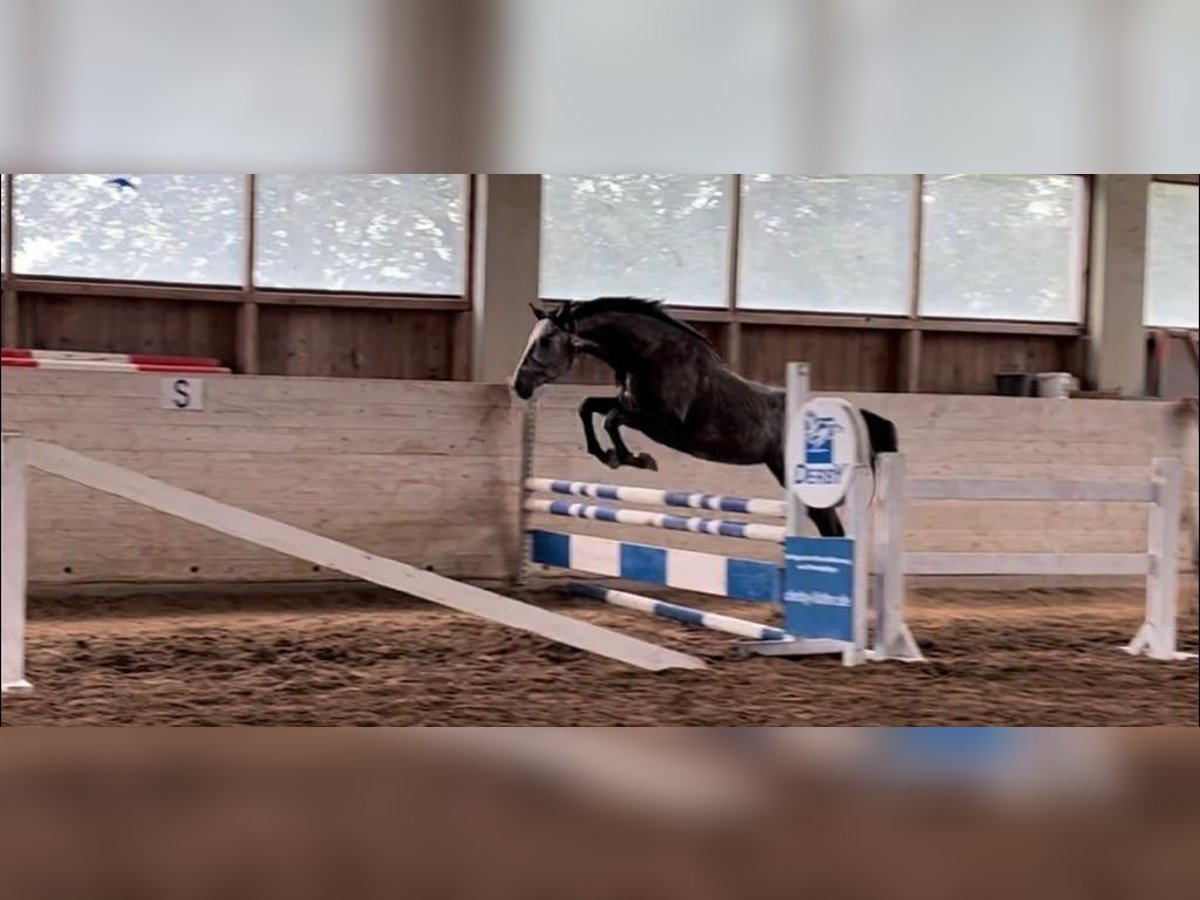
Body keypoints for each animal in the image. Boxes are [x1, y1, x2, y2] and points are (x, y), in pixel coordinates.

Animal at [508, 296, 902, 540]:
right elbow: (588, 406)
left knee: (830, 525)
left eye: (545, 342)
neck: (648, 355)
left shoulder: (662, 423)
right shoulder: (632, 405)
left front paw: (632, 458)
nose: (518, 385)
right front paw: (609, 455)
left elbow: (611, 420)